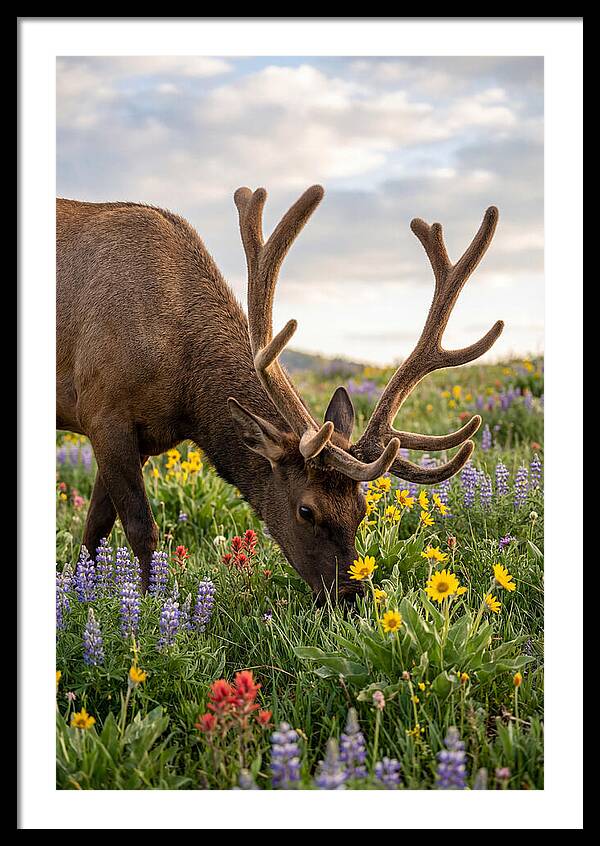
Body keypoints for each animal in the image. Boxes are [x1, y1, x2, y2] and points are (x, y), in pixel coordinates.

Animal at [56, 184, 503, 600]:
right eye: (306, 510)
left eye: (362, 509)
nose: (351, 596)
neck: (185, 392)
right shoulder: (103, 411)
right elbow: (139, 528)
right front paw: (148, 606)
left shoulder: (144, 437)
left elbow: (94, 529)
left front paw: (84, 592)